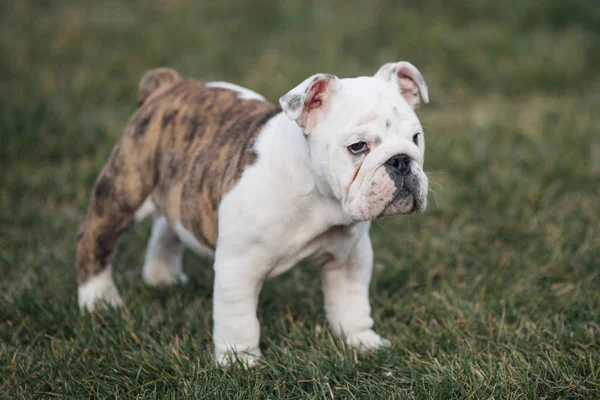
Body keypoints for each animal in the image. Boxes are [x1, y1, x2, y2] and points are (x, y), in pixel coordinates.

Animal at [77, 62, 428, 366]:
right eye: (357, 147)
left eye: (415, 138)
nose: (400, 160)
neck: (320, 198)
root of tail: (167, 86)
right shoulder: (238, 266)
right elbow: (239, 318)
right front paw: (240, 361)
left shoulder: (351, 259)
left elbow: (352, 304)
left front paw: (362, 342)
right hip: (125, 189)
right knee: (95, 237)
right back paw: (99, 300)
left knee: (169, 225)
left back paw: (162, 277)